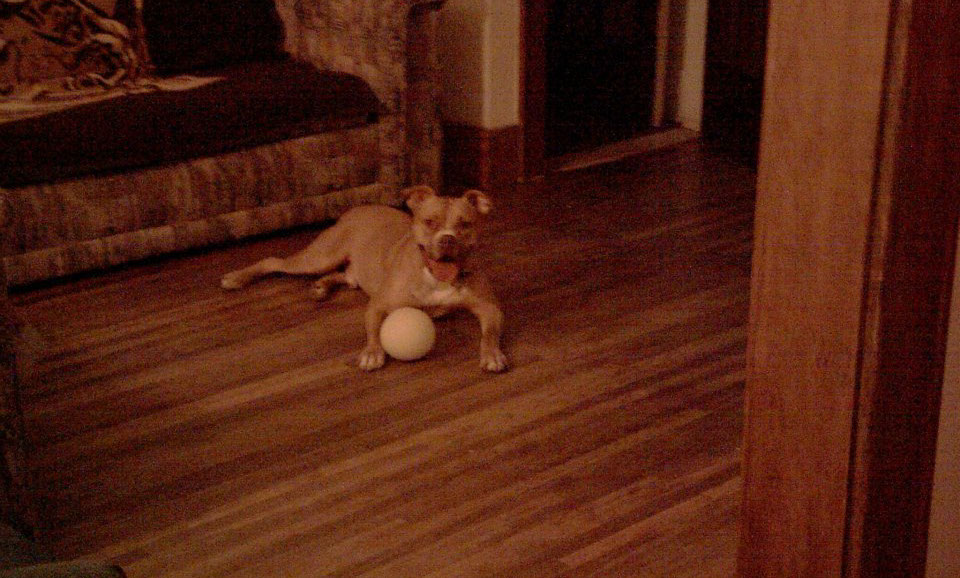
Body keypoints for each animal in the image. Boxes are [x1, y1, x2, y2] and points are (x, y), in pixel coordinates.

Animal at [221, 185, 508, 372]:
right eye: (429, 222)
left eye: (465, 224)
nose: (447, 239)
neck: (434, 277)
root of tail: (354, 210)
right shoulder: (378, 305)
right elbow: (373, 330)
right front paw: (371, 353)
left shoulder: (489, 308)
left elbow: (490, 333)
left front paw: (493, 354)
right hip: (320, 256)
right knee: (272, 261)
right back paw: (236, 278)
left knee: (345, 277)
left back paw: (321, 287)